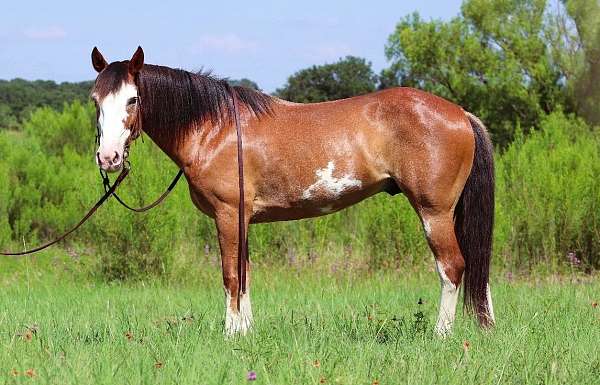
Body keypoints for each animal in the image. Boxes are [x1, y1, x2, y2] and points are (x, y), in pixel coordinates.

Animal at [90, 45, 492, 336]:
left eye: (132, 99)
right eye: (95, 100)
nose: (108, 158)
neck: (215, 128)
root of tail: (461, 114)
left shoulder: (227, 214)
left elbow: (231, 274)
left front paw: (230, 334)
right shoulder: (244, 219)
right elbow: (245, 274)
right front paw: (247, 332)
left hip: (434, 212)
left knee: (452, 267)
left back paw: (441, 335)